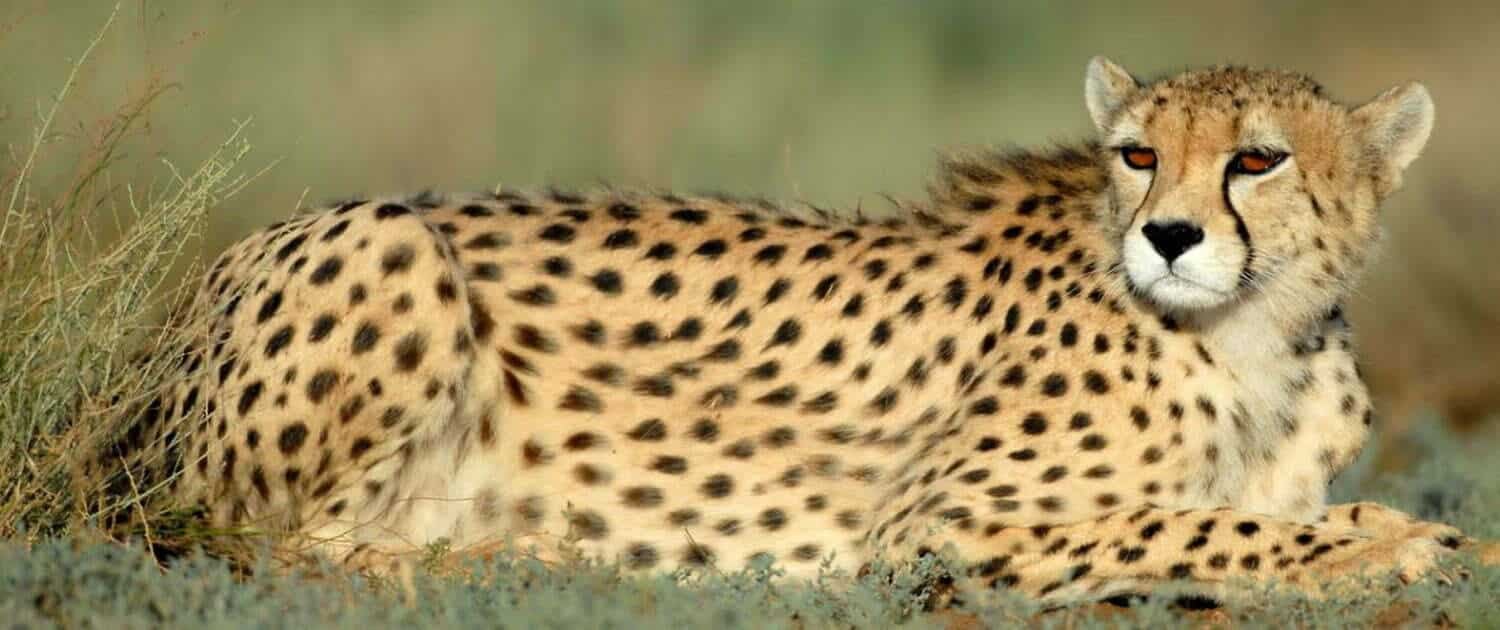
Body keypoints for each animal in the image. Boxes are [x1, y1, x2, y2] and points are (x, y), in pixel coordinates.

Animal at [98, 57, 1468, 606]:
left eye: (1257, 159)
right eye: (1137, 155)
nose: (1169, 237)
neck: (1260, 335)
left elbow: (1272, 510)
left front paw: (1401, 533)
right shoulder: (937, 527)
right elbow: (1191, 523)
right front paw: (1396, 547)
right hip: (392, 245)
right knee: (262, 544)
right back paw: (531, 556)